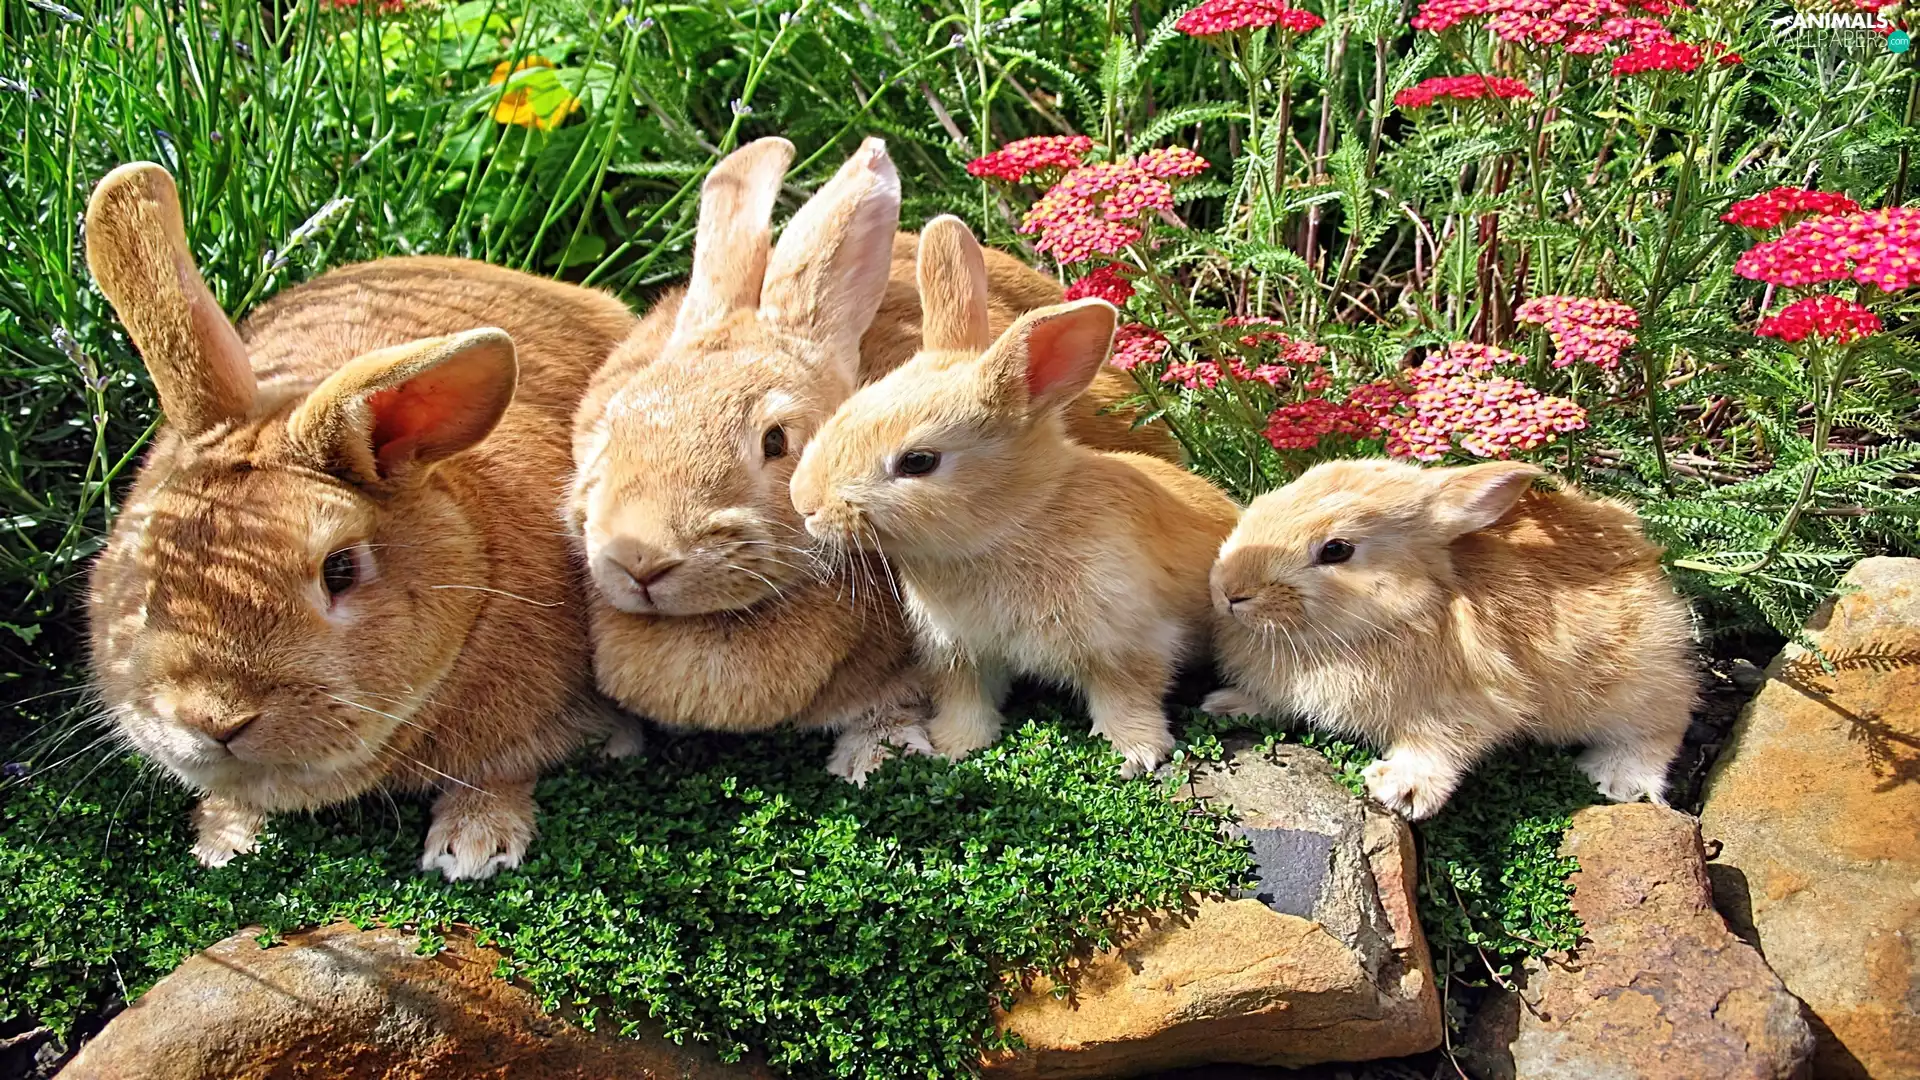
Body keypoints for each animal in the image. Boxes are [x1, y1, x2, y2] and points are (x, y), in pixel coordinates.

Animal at [83, 162, 638, 880]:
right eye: (148, 561)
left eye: (340, 570)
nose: (216, 719)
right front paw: (223, 843)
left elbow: (500, 772)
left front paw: (473, 848)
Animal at [790, 215, 1243, 778]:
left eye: (918, 462)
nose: (805, 504)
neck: (1011, 527)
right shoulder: (960, 652)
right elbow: (966, 699)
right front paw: (956, 745)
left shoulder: (1128, 641)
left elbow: (1127, 696)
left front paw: (1135, 754)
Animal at [1203, 457, 1698, 820]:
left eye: (1336, 550)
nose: (1229, 591)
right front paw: (1227, 705)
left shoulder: (1467, 703)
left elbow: (1437, 746)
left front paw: (1399, 791)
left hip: (1629, 681)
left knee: (1667, 717)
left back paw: (1618, 780)